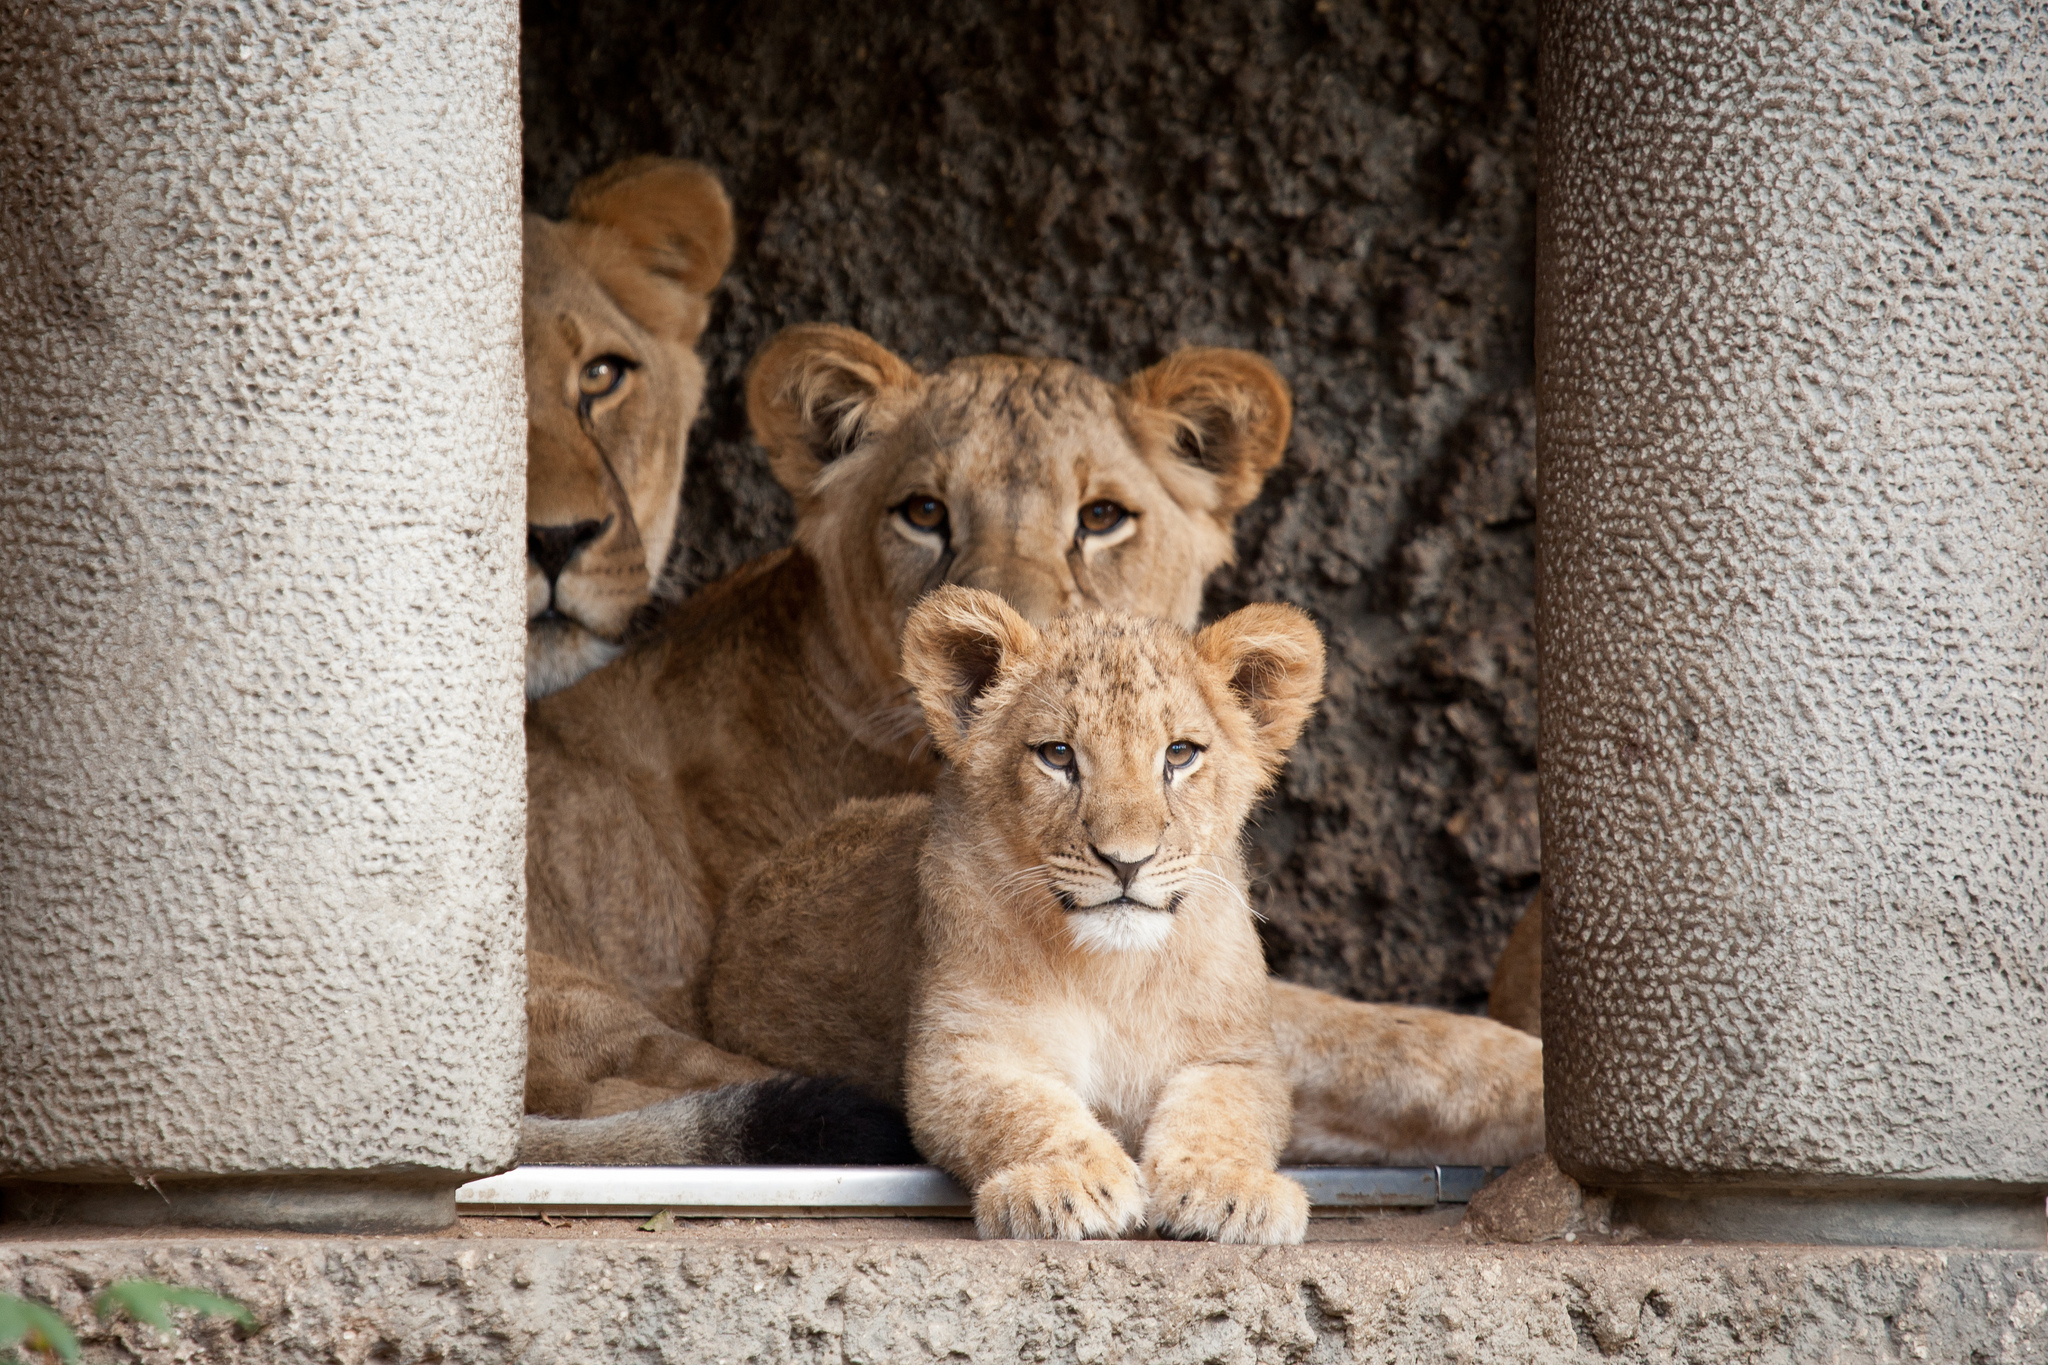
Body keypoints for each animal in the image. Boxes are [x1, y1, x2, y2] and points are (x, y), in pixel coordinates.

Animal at [704, 581, 1318, 1244]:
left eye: (1180, 754)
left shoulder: (1236, 1056)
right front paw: (1068, 1183)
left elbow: (1224, 1113)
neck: (1110, 971)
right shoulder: (961, 1052)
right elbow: (1024, 1109)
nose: (1126, 861)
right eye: (1057, 755)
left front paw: (1228, 1188)